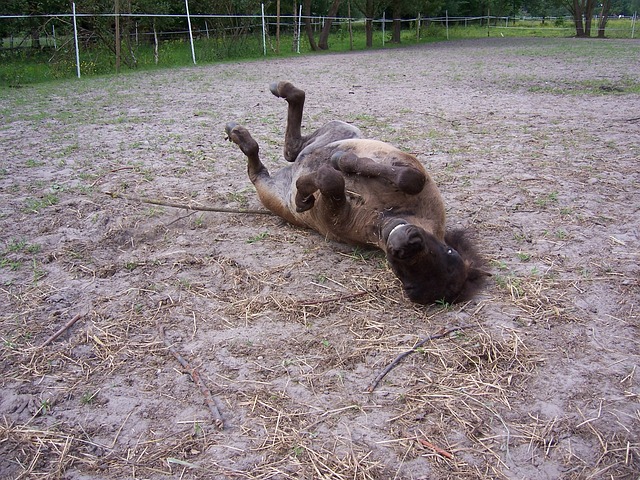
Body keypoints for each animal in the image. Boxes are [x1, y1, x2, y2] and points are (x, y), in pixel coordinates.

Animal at [228, 81, 488, 304]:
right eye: (449, 251)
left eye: (409, 285)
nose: (405, 245)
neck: (386, 214)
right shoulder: (411, 169)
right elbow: (409, 178)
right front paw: (342, 162)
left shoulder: (337, 215)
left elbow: (330, 181)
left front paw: (305, 194)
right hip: (341, 130)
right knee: (294, 148)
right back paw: (278, 98)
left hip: (272, 193)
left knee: (272, 162)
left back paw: (243, 138)